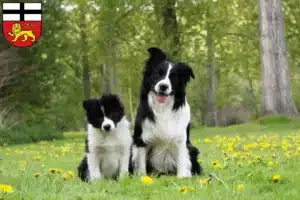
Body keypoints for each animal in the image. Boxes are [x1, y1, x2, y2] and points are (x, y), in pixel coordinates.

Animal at [132, 47, 200, 178]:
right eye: (158, 74)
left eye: (173, 77)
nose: (163, 86)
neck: (163, 109)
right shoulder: (141, 140)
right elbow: (141, 163)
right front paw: (142, 177)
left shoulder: (182, 140)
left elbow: (182, 160)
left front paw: (182, 177)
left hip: (193, 149)